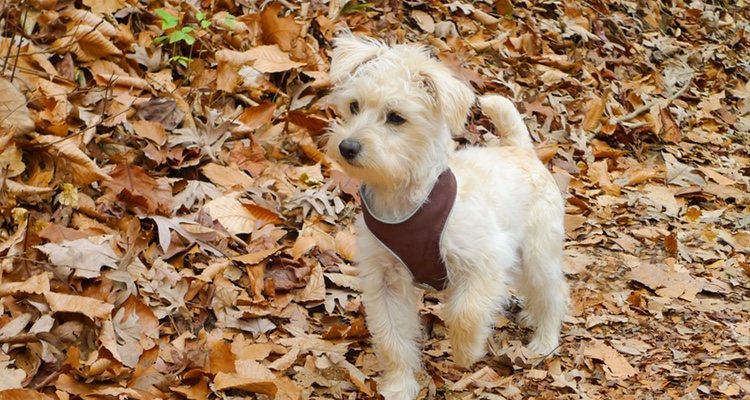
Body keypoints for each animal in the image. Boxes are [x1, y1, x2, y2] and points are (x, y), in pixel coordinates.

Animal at [324, 35, 568, 400]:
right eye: (354, 106)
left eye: (396, 117)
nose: (347, 147)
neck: (407, 200)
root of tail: (519, 149)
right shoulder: (384, 280)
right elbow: (392, 337)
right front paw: (399, 385)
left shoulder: (484, 259)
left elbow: (465, 312)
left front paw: (467, 351)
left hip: (539, 252)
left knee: (553, 293)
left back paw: (545, 339)